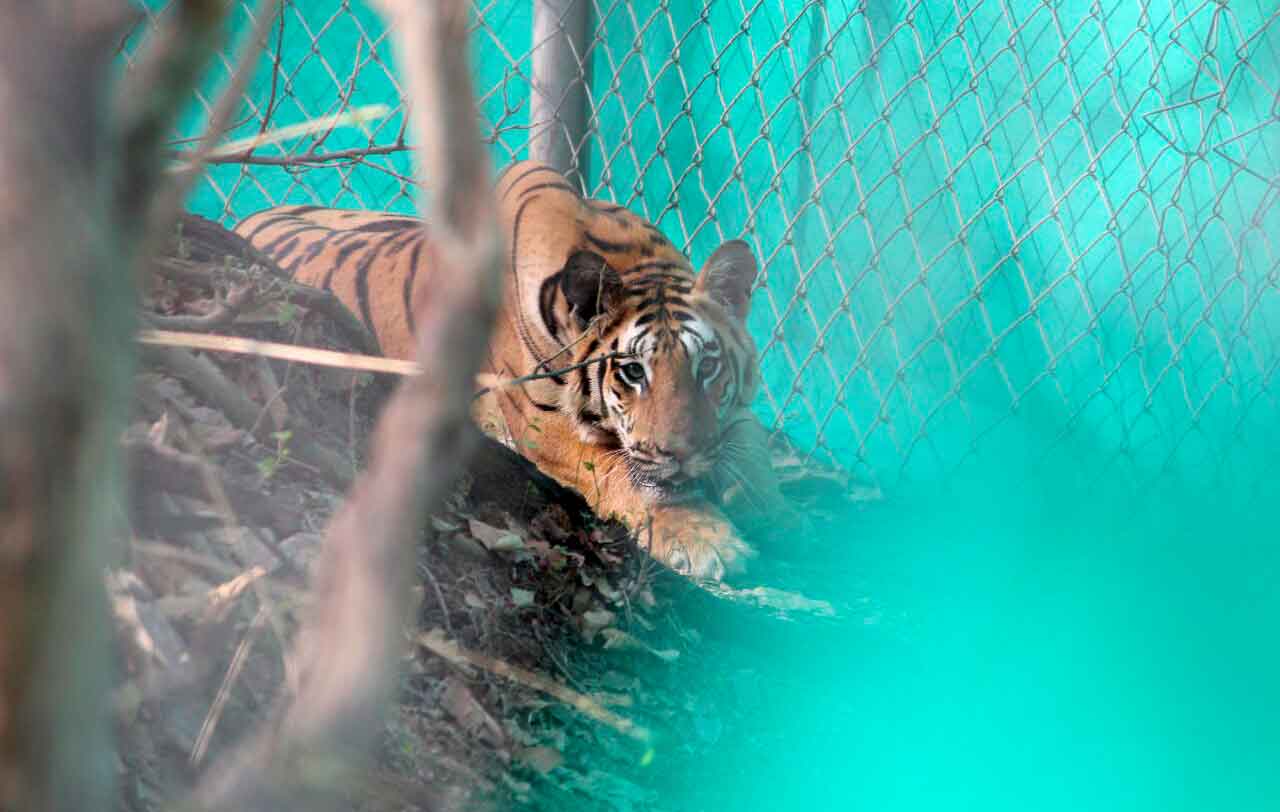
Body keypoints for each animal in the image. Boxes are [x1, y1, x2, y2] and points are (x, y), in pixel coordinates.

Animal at [234, 161, 791, 580]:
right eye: (633, 371)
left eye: (707, 366)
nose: (683, 455)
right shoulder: (544, 425)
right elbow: (631, 477)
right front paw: (708, 539)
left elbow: (751, 447)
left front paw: (773, 509)